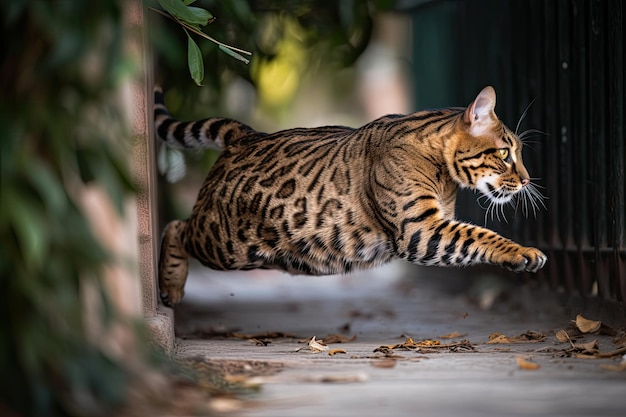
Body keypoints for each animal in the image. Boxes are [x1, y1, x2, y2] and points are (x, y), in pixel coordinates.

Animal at [155, 85, 544, 306]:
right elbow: (480, 235)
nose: (527, 181)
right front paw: (522, 252)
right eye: (505, 153)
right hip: (223, 242)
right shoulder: (418, 230)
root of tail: (245, 135)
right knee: (175, 226)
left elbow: (471, 240)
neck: (442, 171)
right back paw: (169, 286)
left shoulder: (434, 226)